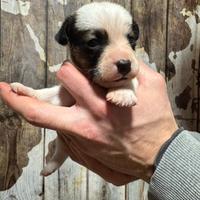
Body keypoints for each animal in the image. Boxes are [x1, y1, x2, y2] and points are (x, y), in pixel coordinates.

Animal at [10, 1, 139, 177]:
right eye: (93, 43)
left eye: (131, 40)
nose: (125, 64)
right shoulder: (65, 95)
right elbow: (47, 95)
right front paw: (27, 91)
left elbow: (131, 81)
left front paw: (123, 92)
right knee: (59, 154)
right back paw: (48, 167)